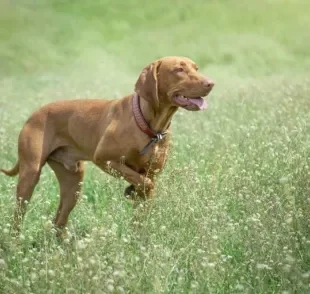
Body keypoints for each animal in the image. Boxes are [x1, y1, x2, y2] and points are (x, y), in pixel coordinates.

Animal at [0, 55, 214, 234]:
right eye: (179, 69)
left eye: (196, 68)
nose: (211, 83)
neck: (149, 125)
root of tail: (33, 114)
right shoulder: (104, 159)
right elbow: (145, 183)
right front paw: (132, 191)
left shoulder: (150, 172)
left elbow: (143, 197)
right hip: (30, 176)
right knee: (17, 219)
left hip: (73, 183)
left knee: (58, 222)